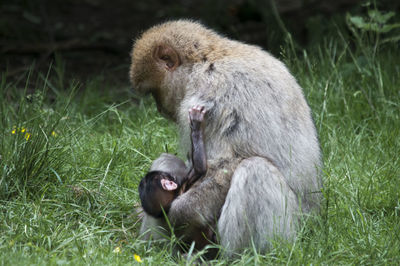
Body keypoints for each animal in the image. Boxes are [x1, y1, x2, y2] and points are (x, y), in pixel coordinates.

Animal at [130, 19, 324, 255]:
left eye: (153, 93)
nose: (159, 109)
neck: (208, 58)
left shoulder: (211, 94)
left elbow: (225, 164)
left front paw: (180, 212)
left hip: (292, 231)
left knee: (255, 170)